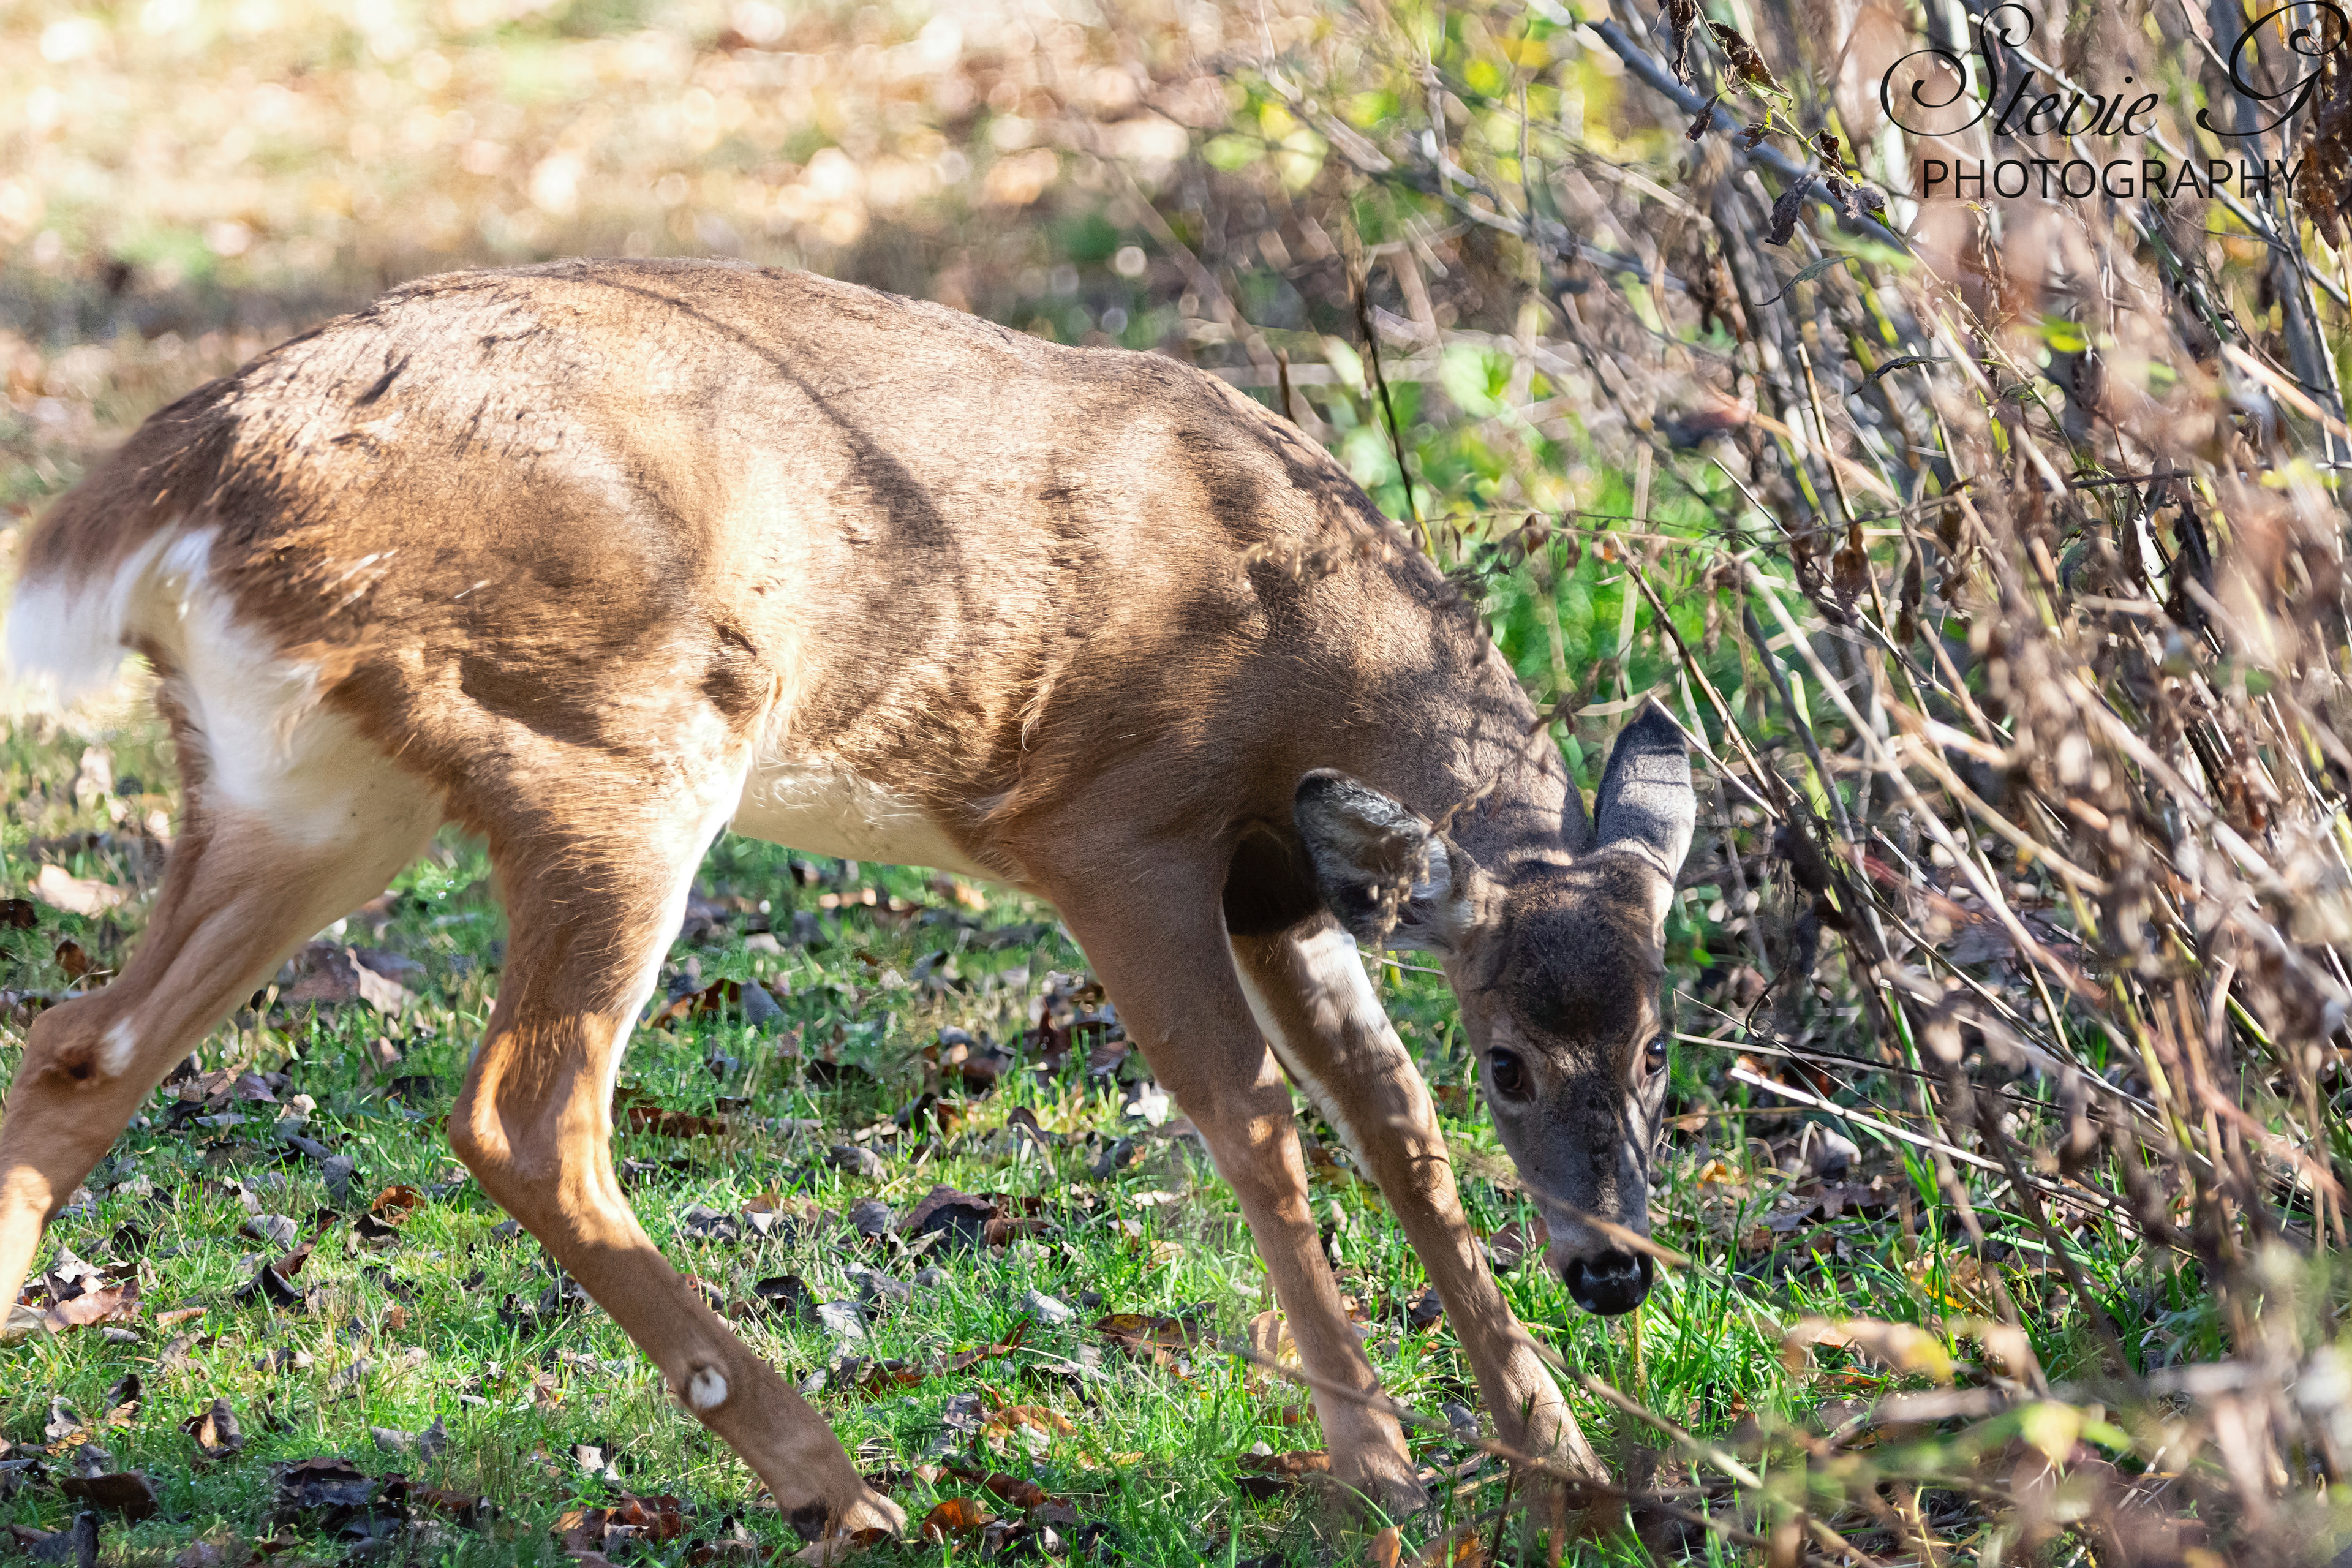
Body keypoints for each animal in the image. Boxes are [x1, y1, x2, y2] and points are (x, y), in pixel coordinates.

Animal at [0, 259, 1694, 1546]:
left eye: (1657, 1046)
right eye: (1510, 1061)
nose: (1616, 1266)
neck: (1299, 651)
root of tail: (180, 479)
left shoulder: (1280, 886)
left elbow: (1392, 1125)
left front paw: (1571, 1473)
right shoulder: (1115, 827)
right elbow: (1258, 1122)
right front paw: (1384, 1469)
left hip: (310, 785)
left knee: (87, 1036)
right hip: (619, 738)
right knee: (523, 1110)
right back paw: (838, 1485)